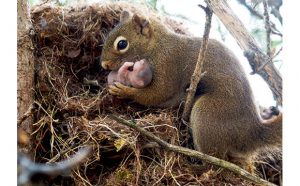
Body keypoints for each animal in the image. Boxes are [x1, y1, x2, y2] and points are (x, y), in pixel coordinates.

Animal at [101, 10, 282, 170]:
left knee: (216, 162)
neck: (157, 45)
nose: (104, 65)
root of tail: (252, 132)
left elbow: (158, 94)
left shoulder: (168, 65)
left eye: (122, 44)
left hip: (207, 114)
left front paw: (124, 90)